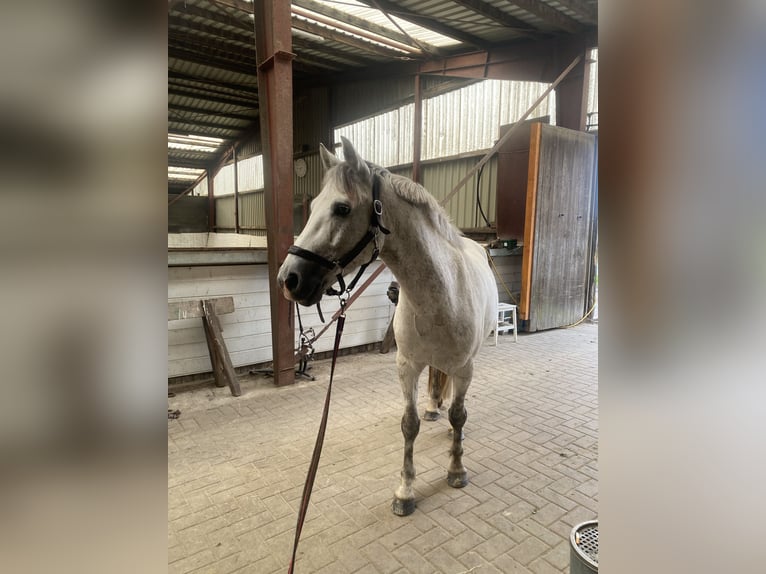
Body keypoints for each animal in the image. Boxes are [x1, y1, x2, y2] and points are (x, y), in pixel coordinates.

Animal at [277, 137, 497, 516]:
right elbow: (410, 425)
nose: (289, 280)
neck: (443, 292)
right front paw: (405, 491)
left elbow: (459, 415)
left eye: (342, 208)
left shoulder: (464, 368)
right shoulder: (406, 366)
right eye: (314, 205)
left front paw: (456, 470)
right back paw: (433, 408)